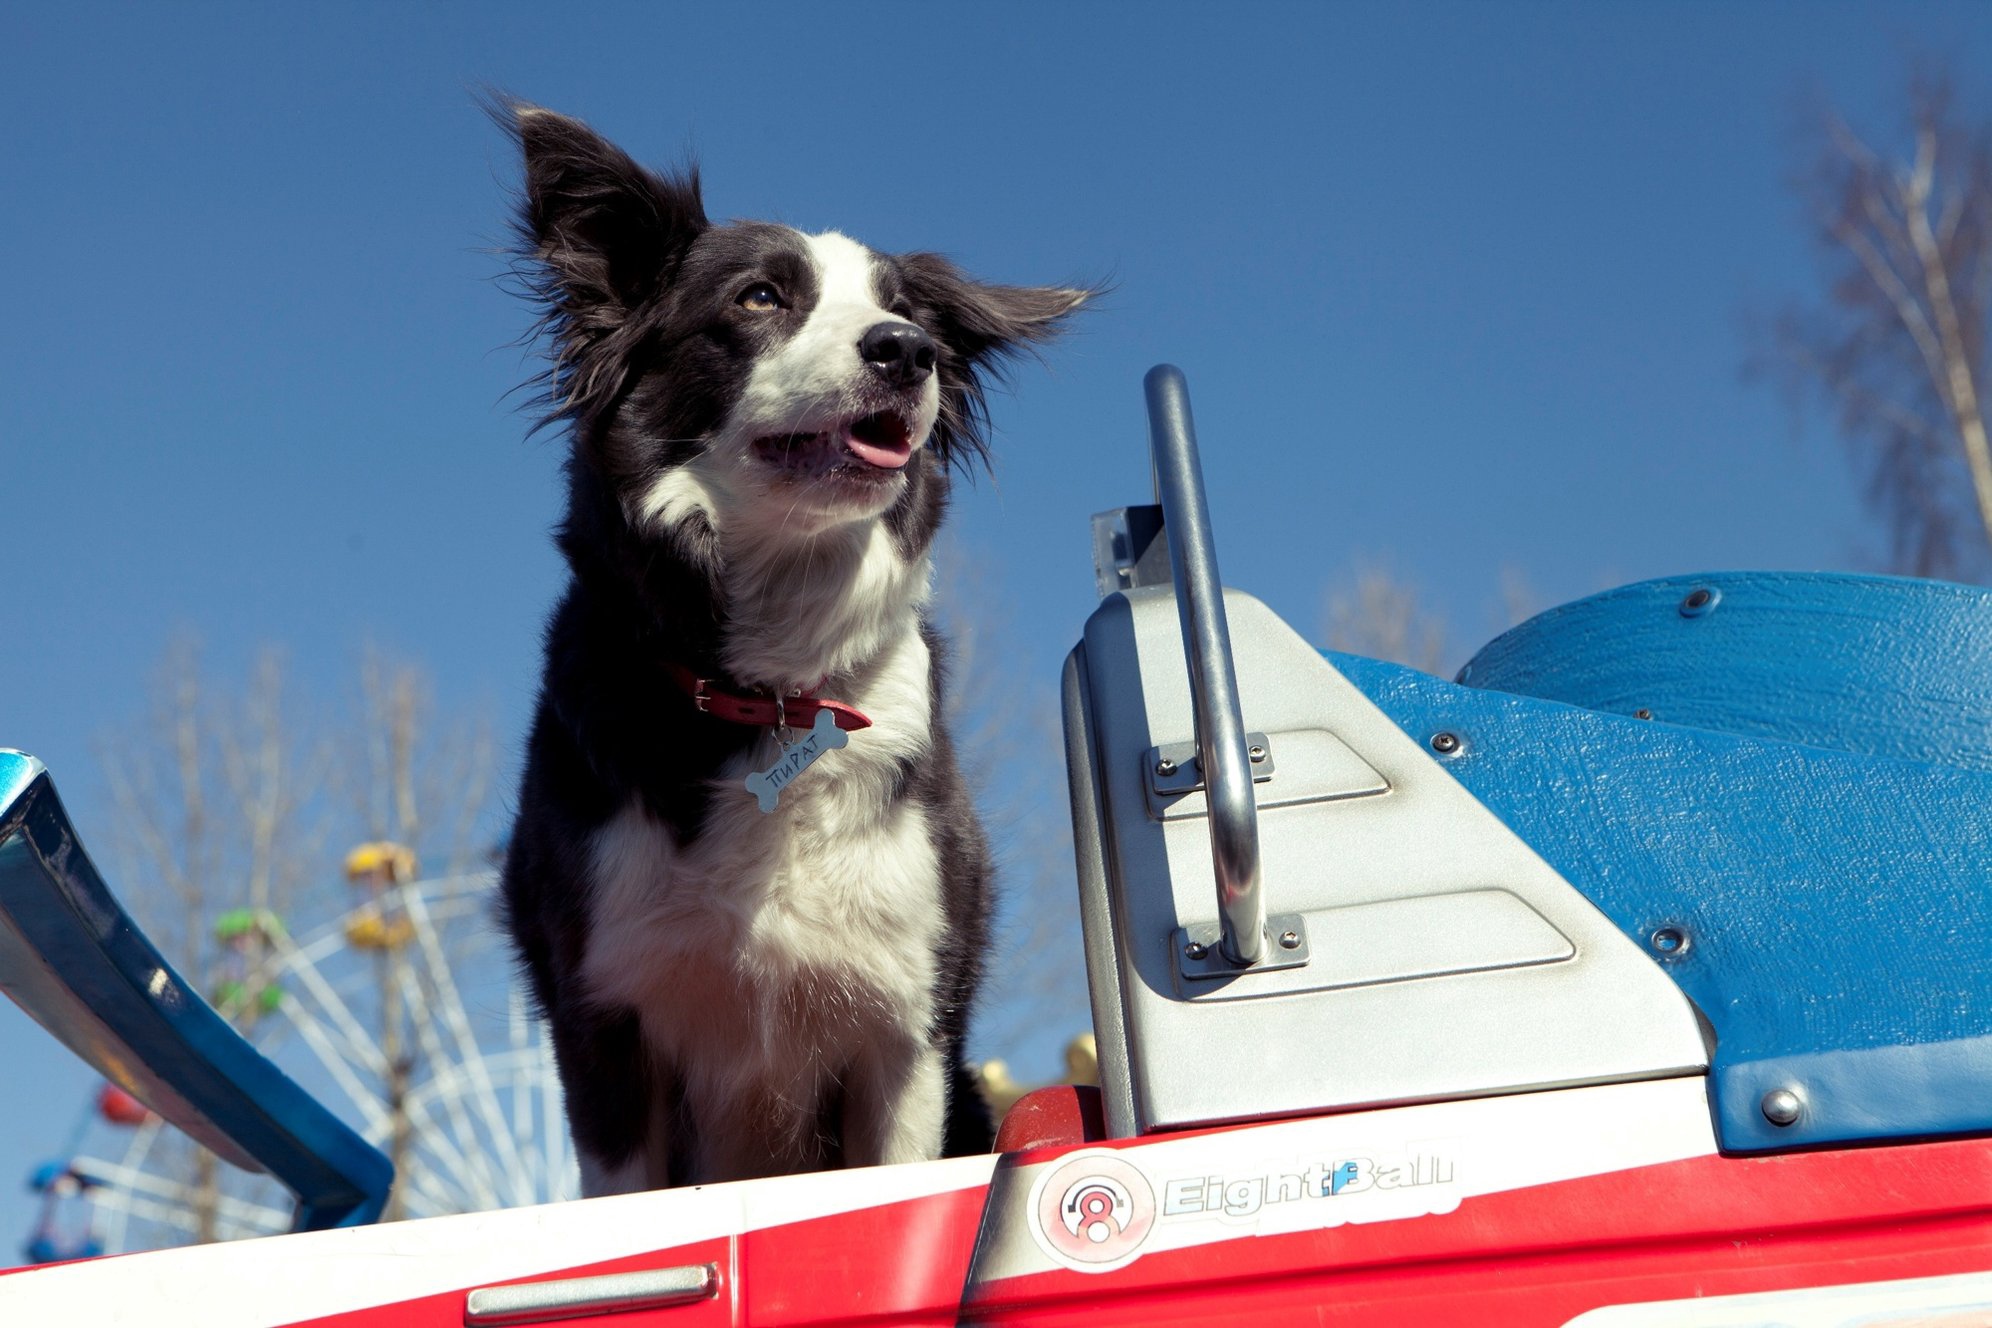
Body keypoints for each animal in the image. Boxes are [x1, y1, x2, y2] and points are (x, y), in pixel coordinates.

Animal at [498, 106, 1091, 1194]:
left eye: (906, 312)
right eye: (761, 296)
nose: (909, 351)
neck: (767, 691)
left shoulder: (906, 1028)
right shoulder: (605, 1026)